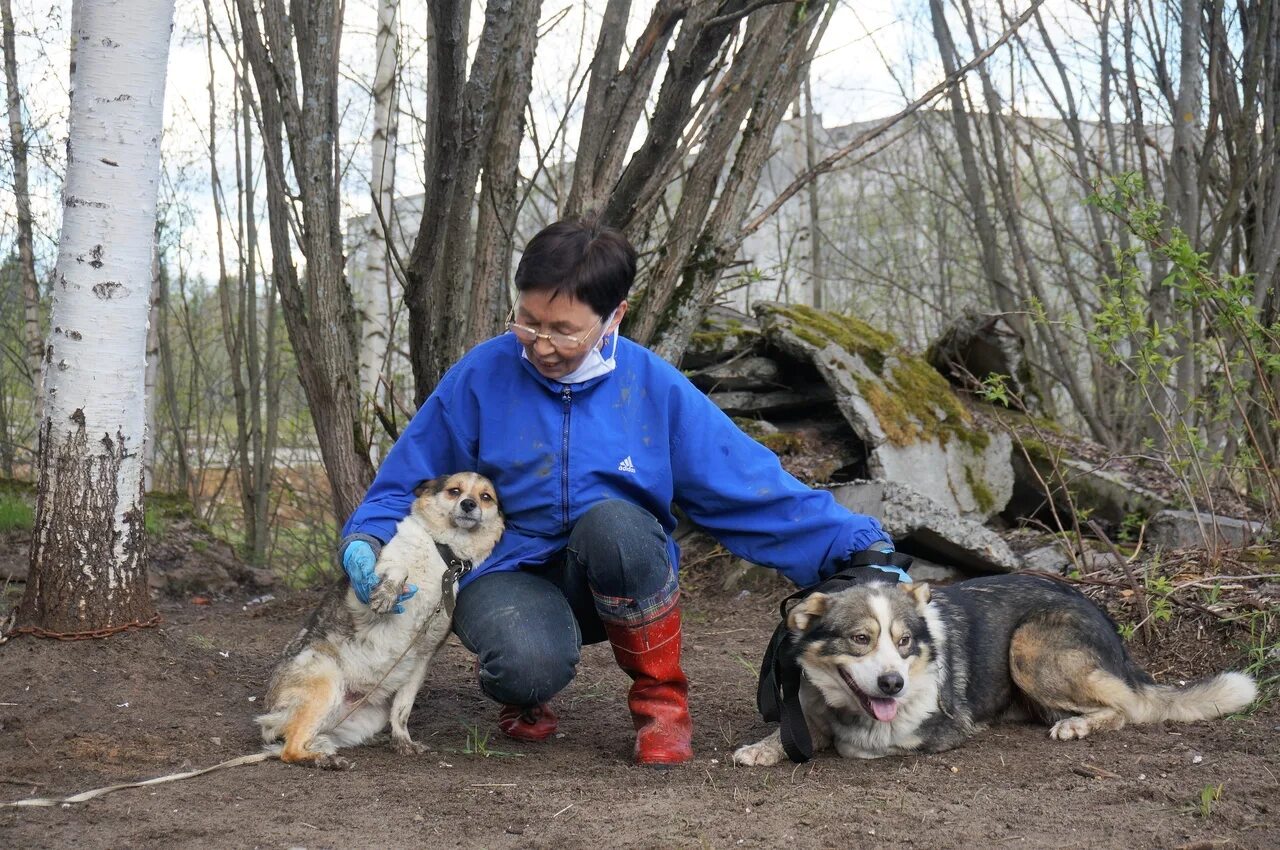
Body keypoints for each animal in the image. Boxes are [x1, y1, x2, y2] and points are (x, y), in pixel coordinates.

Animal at [257, 471, 501, 768]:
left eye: (486, 497)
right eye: (455, 491)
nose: (469, 504)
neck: (442, 555)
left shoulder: (422, 657)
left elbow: (402, 710)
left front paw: (403, 743)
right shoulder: (365, 590)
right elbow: (397, 568)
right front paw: (387, 594)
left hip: (367, 717)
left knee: (306, 740)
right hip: (325, 681)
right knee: (289, 750)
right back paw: (325, 761)